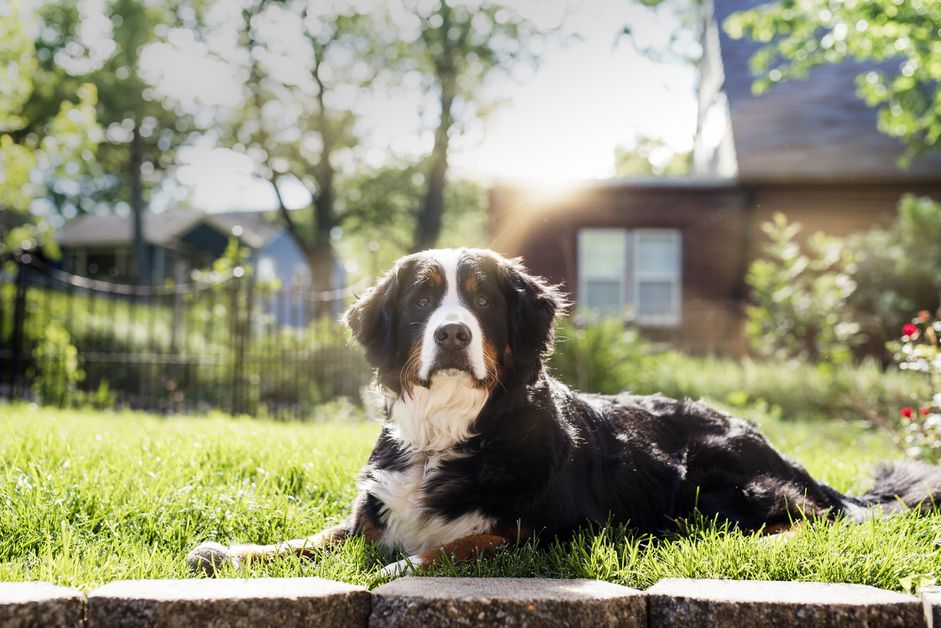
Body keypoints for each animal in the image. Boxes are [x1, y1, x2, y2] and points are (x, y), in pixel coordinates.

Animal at [187, 247, 940, 580]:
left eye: (482, 300)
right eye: (423, 300)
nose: (452, 334)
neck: (453, 430)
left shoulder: (551, 530)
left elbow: (458, 544)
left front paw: (401, 567)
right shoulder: (371, 511)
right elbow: (311, 539)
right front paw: (231, 551)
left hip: (714, 468)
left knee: (805, 519)